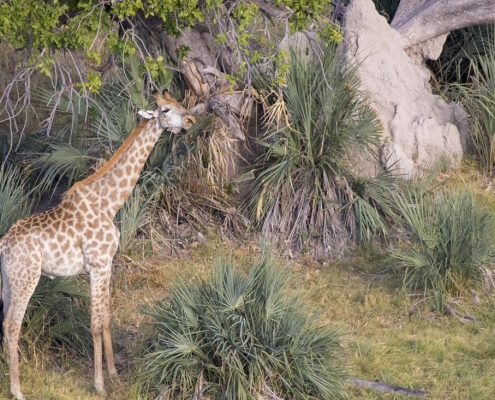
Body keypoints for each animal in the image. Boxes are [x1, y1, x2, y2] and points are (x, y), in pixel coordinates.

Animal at [0, 90, 197, 400]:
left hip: (8, 280)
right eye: (165, 110)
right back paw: (17, 391)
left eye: (180, 103)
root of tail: (3, 244)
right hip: (26, 278)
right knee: (12, 325)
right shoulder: (96, 264)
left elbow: (106, 318)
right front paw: (99, 384)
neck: (109, 203)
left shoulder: (108, 263)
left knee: (3, 321)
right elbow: (93, 323)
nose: (190, 120)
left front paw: (114, 375)